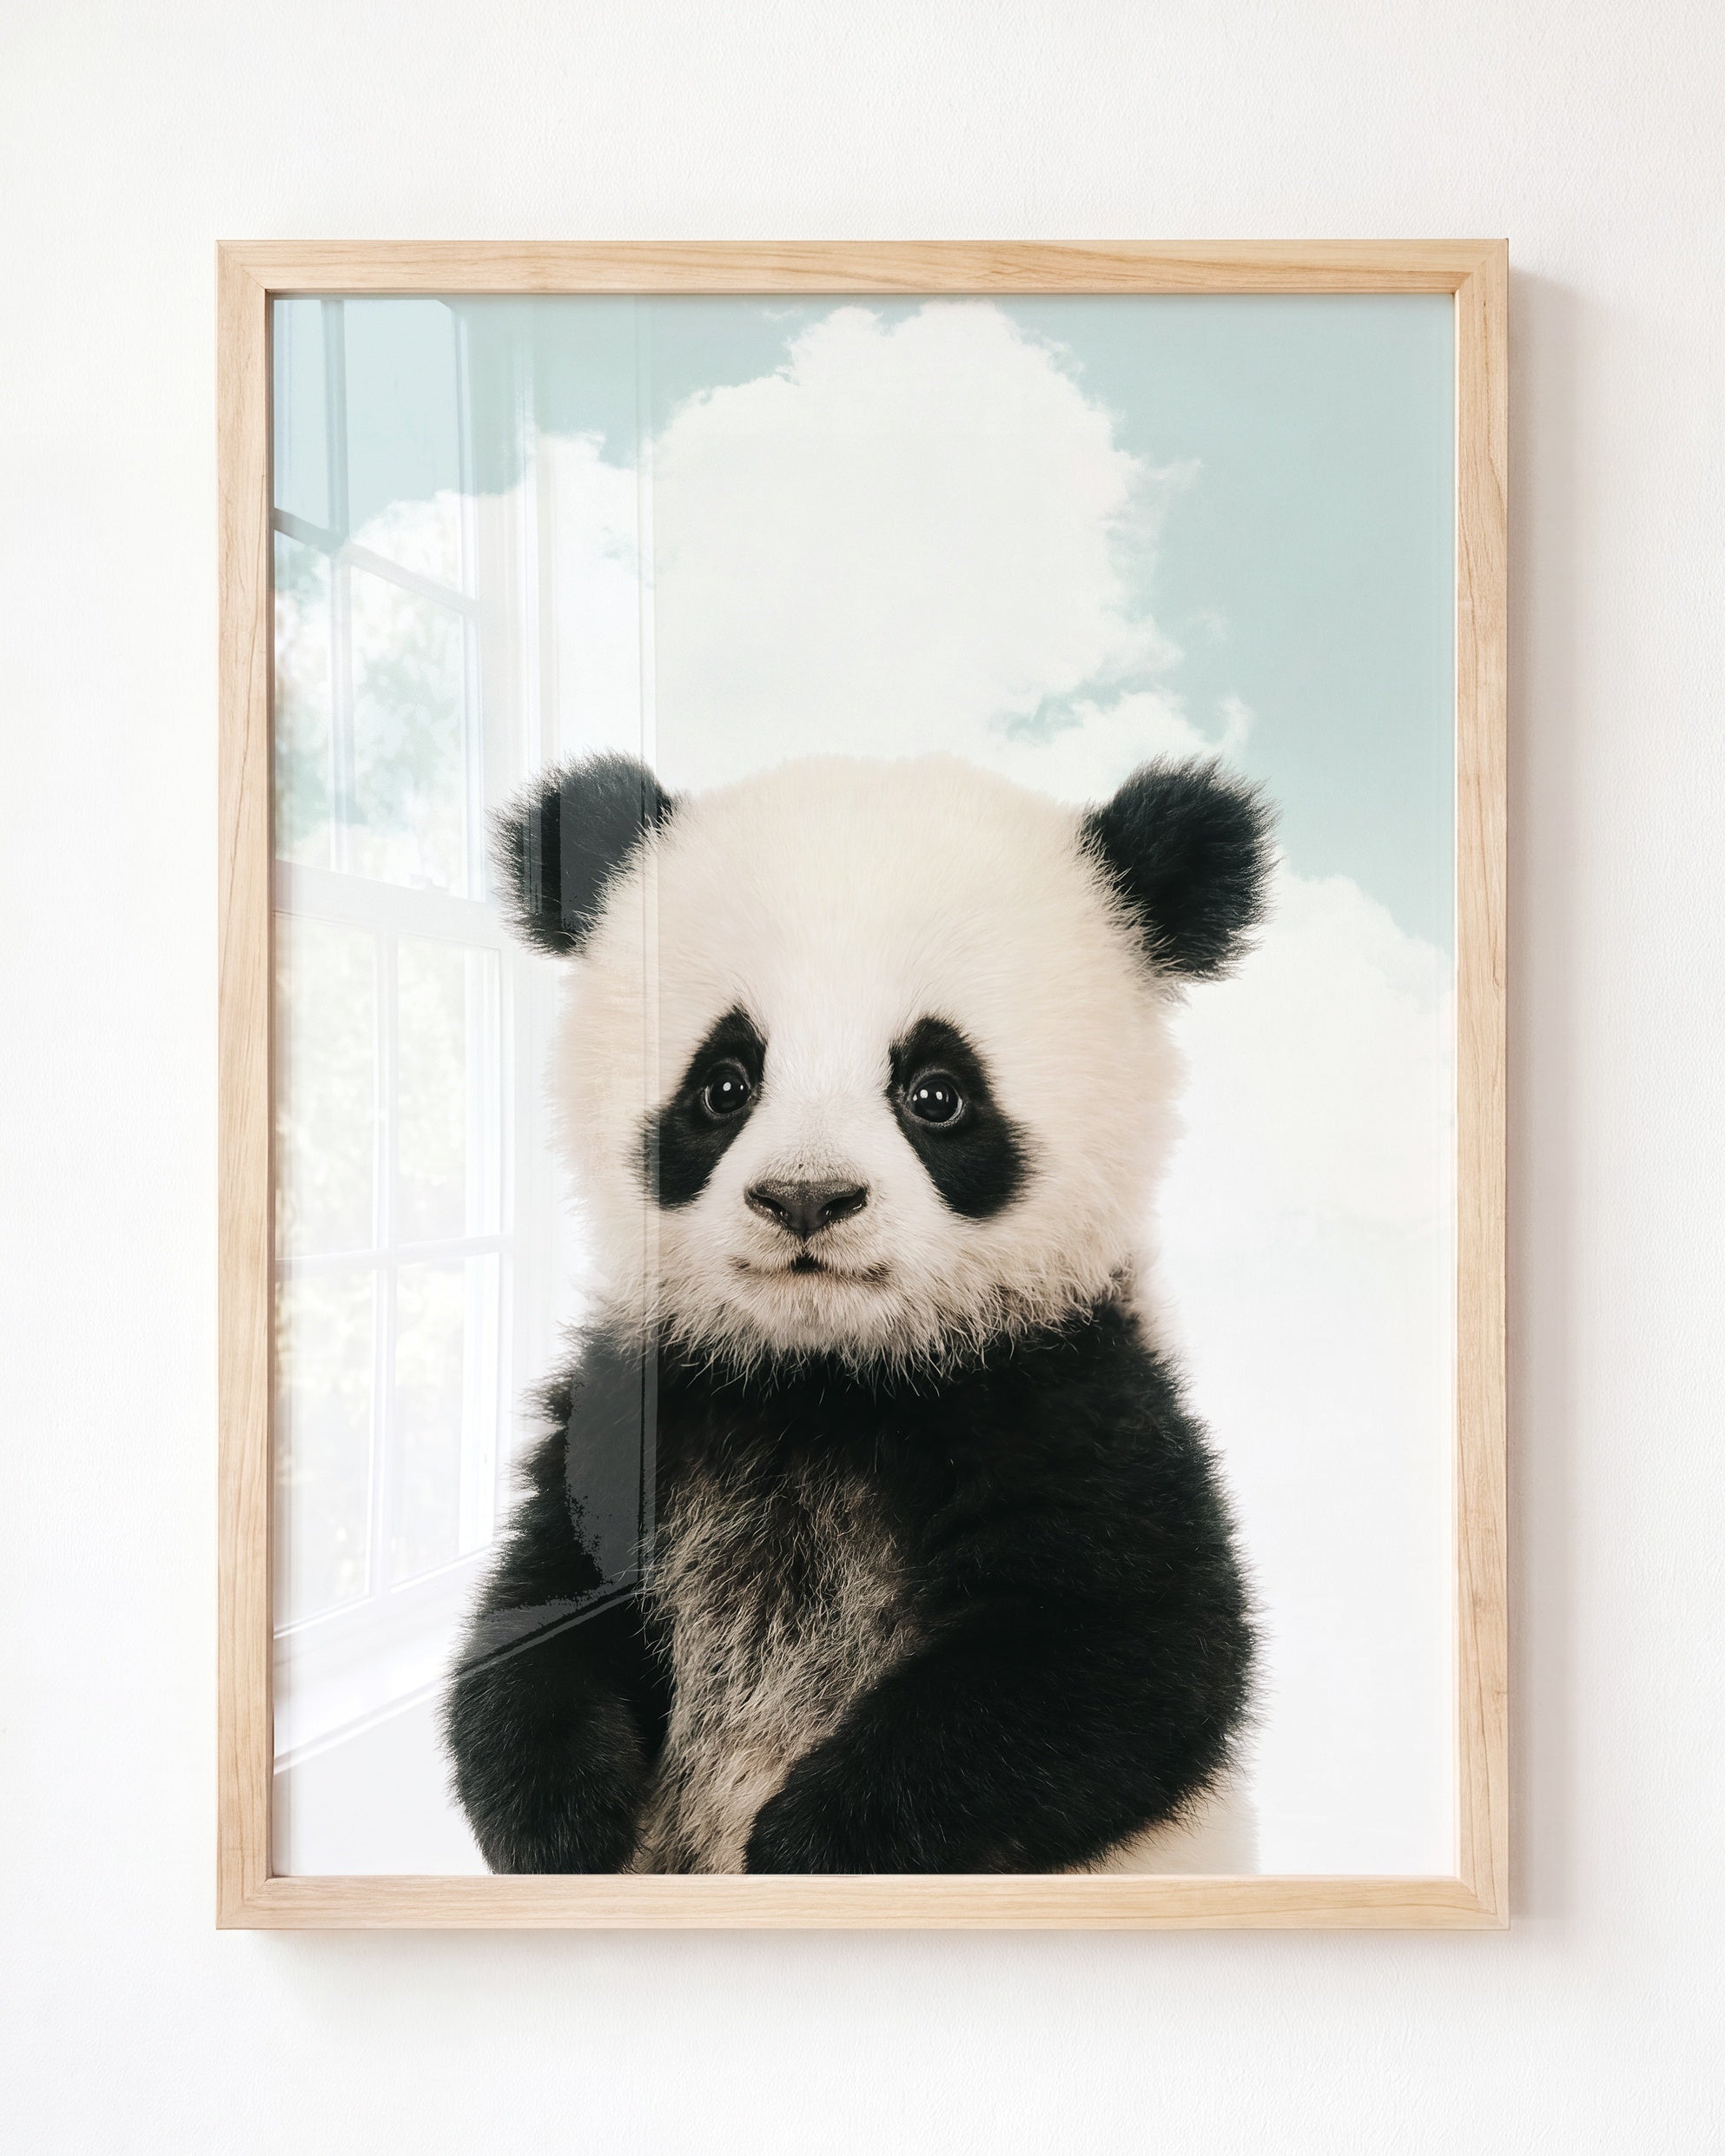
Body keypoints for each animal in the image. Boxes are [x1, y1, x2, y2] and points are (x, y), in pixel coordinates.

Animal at [443, 750, 1270, 1875]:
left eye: (936, 1092)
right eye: (724, 1083)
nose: (806, 1198)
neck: (826, 1374)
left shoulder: (1071, 1394)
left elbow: (1128, 1657)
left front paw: (809, 1844)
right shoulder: (644, 1404)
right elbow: (536, 1612)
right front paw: (564, 1822)